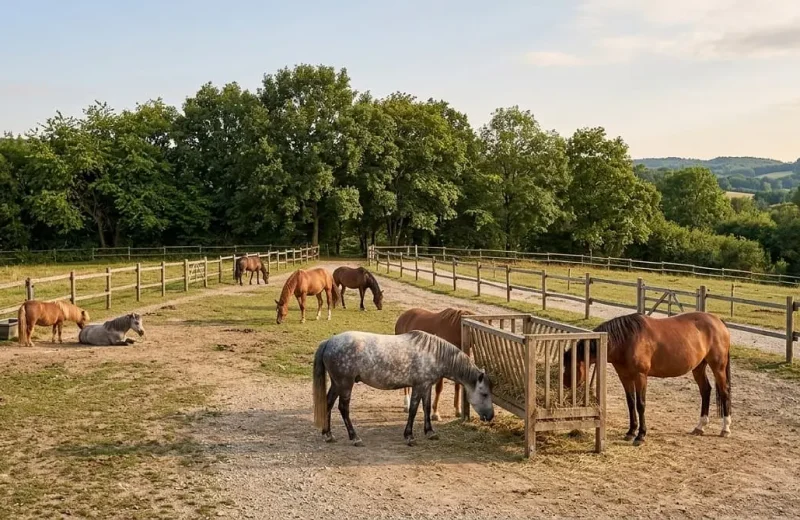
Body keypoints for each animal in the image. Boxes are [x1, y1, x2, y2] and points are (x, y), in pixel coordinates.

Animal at [312, 330, 494, 446]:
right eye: (484, 394)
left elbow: (426, 408)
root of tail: (328, 342)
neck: (434, 354)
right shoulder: (418, 386)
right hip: (345, 384)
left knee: (327, 404)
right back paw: (355, 438)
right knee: (343, 408)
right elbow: (413, 410)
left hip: (337, 384)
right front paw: (410, 437)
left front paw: (430, 432)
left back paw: (328, 435)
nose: (490, 416)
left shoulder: (426, 386)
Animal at [563, 312, 731, 445]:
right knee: (706, 390)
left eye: (571, 366)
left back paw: (726, 428)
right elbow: (631, 403)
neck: (627, 340)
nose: (565, 385)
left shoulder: (640, 376)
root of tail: (718, 321)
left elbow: (640, 404)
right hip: (698, 367)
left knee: (724, 392)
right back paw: (700, 426)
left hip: (718, 367)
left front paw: (640, 435)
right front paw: (631, 432)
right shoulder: (625, 376)